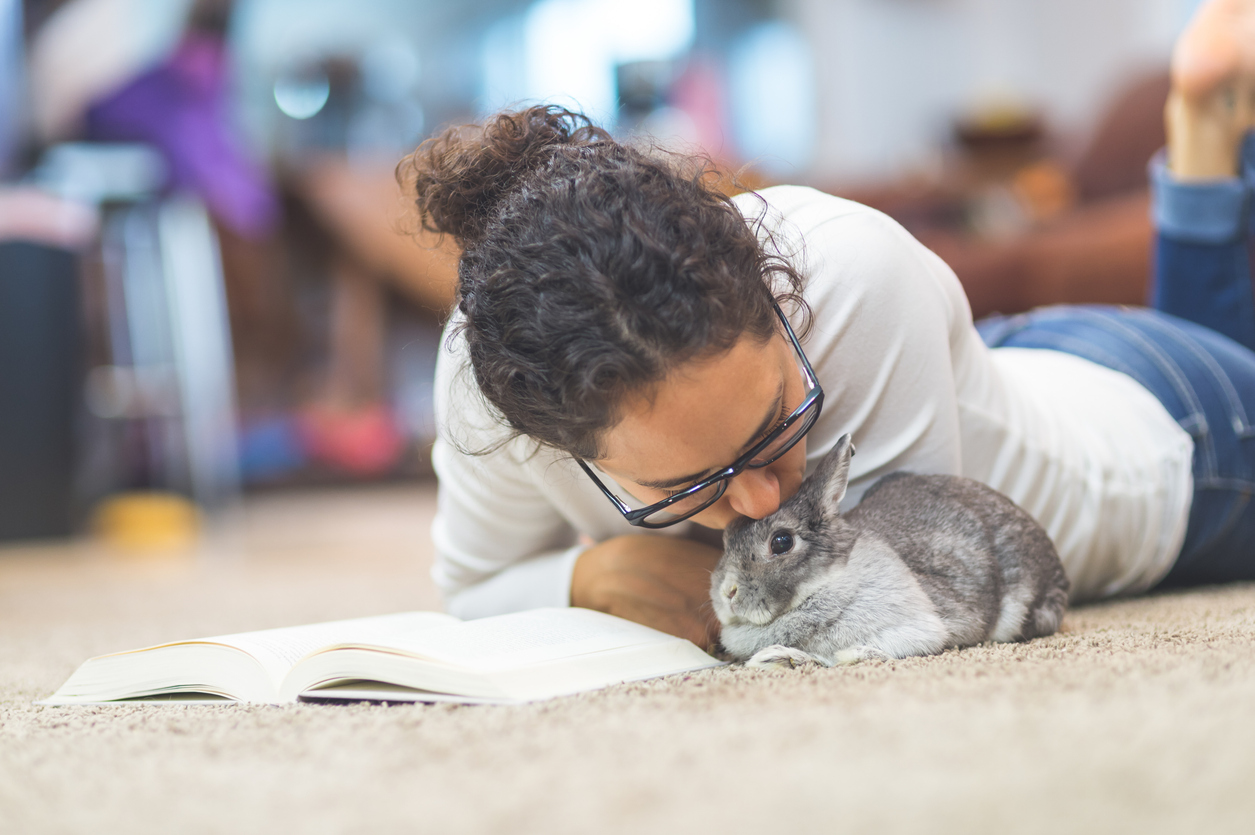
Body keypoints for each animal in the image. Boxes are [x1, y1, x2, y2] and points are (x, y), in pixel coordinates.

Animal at [717, 431, 1069, 668]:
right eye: (727, 537)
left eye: (781, 542)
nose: (728, 593)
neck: (827, 582)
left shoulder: (919, 629)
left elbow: (850, 655)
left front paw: (785, 657)